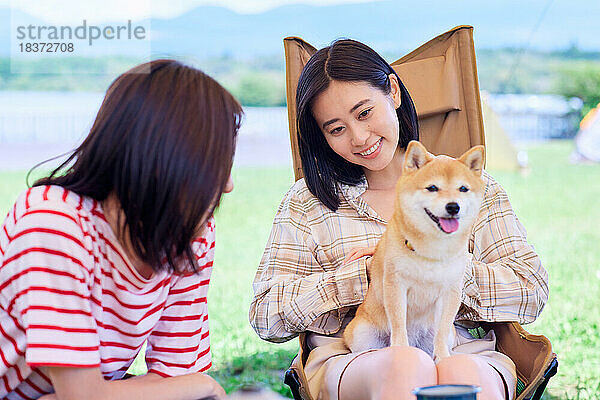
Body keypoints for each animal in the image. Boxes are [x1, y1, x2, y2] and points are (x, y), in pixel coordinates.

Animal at [344, 141, 486, 360]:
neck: (432, 250)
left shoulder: (451, 291)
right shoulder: (395, 285)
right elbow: (398, 323)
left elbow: (442, 329)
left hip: (446, 335)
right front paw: (401, 350)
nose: (453, 206)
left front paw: (443, 357)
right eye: (432, 188)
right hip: (362, 333)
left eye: (463, 188)